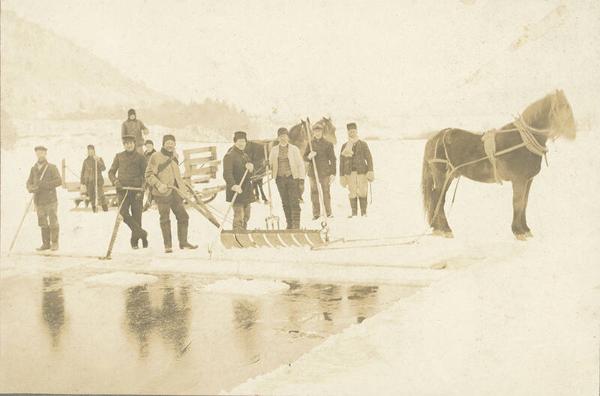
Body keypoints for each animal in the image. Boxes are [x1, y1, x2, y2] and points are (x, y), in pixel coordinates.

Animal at [422, 89, 576, 238]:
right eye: (562, 107)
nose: (574, 133)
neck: (521, 141)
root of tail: (435, 137)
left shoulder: (528, 180)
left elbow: (524, 203)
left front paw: (525, 229)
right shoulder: (519, 180)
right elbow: (517, 202)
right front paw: (518, 231)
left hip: (449, 176)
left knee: (435, 198)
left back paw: (437, 228)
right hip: (441, 176)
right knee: (438, 198)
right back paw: (445, 229)